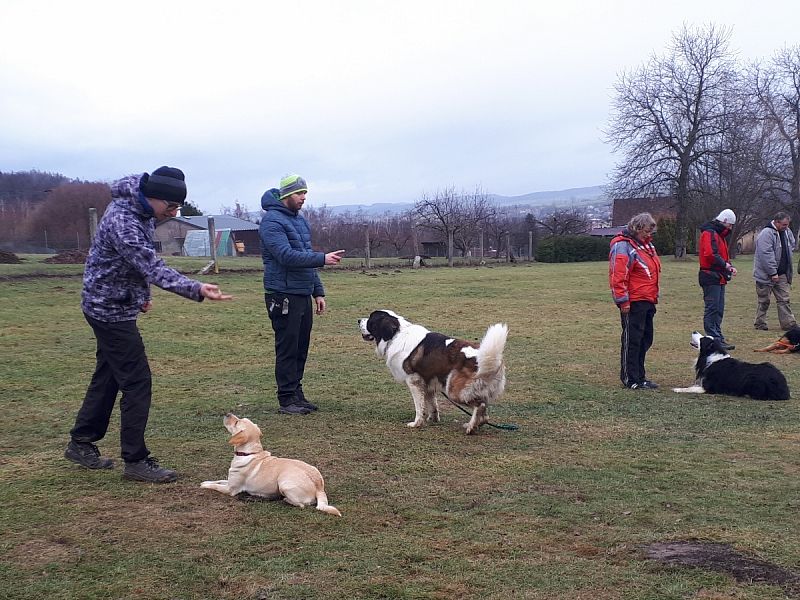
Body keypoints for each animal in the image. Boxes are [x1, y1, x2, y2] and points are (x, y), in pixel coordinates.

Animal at [360, 312, 510, 434]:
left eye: (371, 319)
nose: (358, 320)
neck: (396, 334)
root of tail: (488, 359)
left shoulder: (414, 381)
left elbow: (419, 406)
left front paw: (417, 423)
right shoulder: (428, 381)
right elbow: (432, 403)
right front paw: (433, 418)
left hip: (454, 391)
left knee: (480, 405)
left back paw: (471, 427)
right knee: (484, 411)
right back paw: (475, 423)